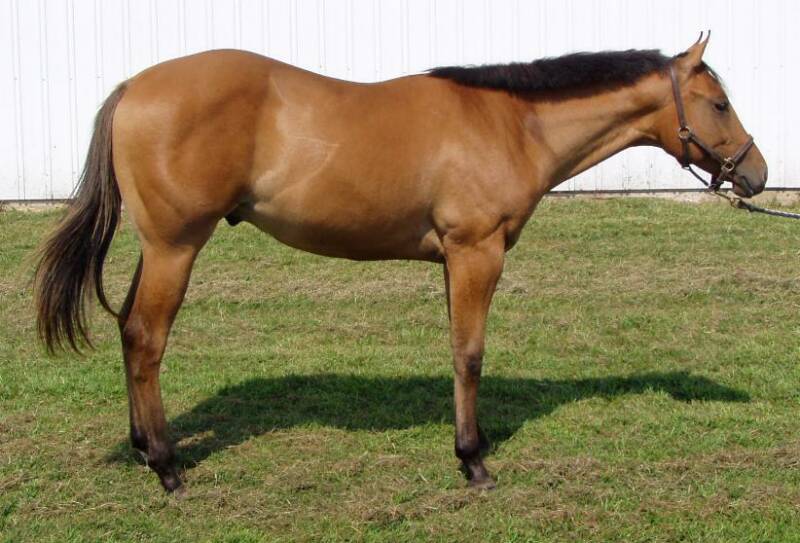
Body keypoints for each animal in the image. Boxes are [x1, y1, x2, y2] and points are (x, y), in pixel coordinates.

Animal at [34, 34, 767, 492]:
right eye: (720, 102)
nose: (755, 174)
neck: (510, 123)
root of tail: (134, 86)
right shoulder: (477, 252)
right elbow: (470, 354)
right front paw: (474, 463)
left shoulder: (453, 258)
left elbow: (457, 350)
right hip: (176, 246)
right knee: (145, 338)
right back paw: (166, 466)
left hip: (159, 248)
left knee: (129, 330)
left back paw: (142, 448)